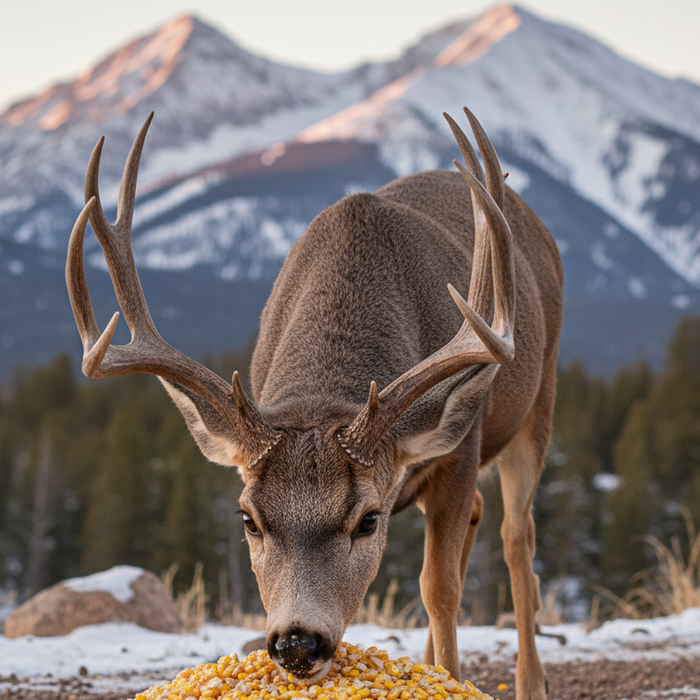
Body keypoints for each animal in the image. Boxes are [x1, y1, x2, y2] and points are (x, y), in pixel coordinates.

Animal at [66, 107, 562, 700]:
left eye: (368, 521)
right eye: (249, 519)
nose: (299, 643)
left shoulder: (460, 448)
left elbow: (440, 588)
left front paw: (449, 678)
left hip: (539, 397)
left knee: (517, 534)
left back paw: (530, 679)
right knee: (484, 516)